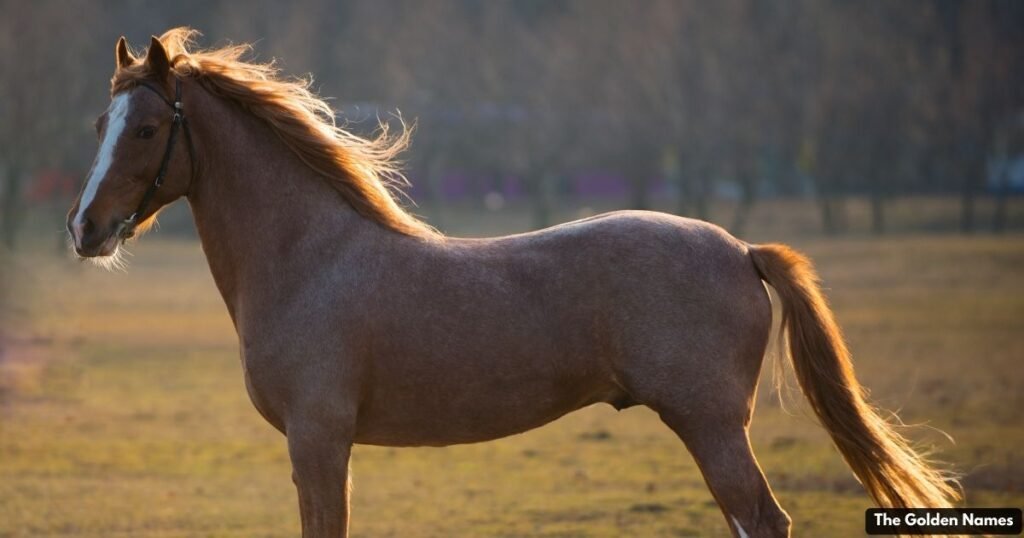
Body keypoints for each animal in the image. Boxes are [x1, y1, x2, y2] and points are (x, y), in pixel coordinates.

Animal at [66, 29, 958, 537]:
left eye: (146, 129)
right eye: (102, 124)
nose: (84, 229)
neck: (310, 260)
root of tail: (740, 247)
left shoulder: (318, 441)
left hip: (712, 427)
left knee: (762, 522)